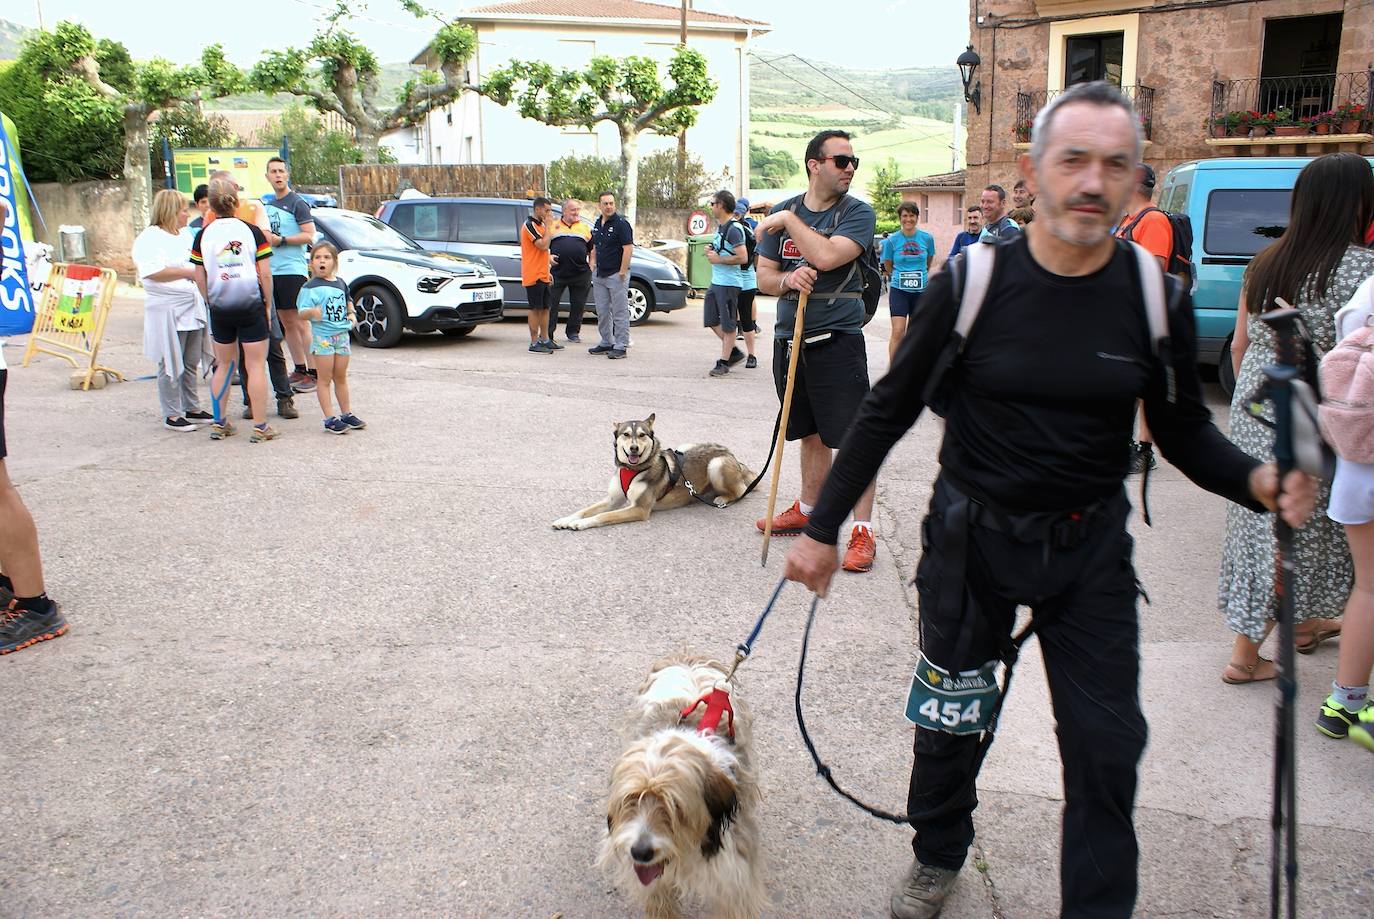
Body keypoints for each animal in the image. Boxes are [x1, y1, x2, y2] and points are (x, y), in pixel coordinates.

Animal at [552, 414, 758, 530]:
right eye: (626, 434)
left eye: (642, 435)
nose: (634, 448)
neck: (633, 469)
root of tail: (731, 453)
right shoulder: (612, 500)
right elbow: (585, 510)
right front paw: (567, 519)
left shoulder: (639, 509)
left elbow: (603, 516)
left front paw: (580, 524)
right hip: (685, 447)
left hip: (716, 464)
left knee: (742, 491)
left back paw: (723, 498)